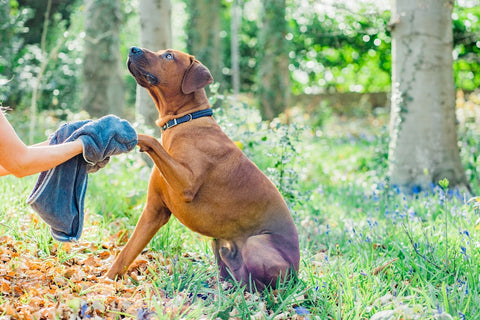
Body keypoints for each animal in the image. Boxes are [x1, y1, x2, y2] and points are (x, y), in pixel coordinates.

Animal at [106, 47, 300, 290]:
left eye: (168, 56)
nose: (133, 49)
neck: (184, 121)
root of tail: (298, 273)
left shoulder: (186, 185)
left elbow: (152, 140)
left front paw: (129, 133)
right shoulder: (154, 211)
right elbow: (126, 252)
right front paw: (105, 281)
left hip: (257, 244)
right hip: (221, 245)